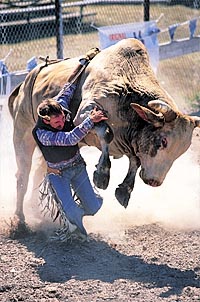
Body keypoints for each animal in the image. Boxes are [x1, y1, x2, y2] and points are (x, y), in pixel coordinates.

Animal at [8, 37, 200, 222]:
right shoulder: (85, 113)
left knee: (40, 172)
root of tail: (27, 80)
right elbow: (106, 133)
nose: (154, 181)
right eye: (163, 141)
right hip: (22, 131)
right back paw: (20, 216)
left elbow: (135, 160)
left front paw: (124, 190)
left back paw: (35, 209)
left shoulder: (130, 143)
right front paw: (102, 174)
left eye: (182, 150)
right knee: (22, 175)